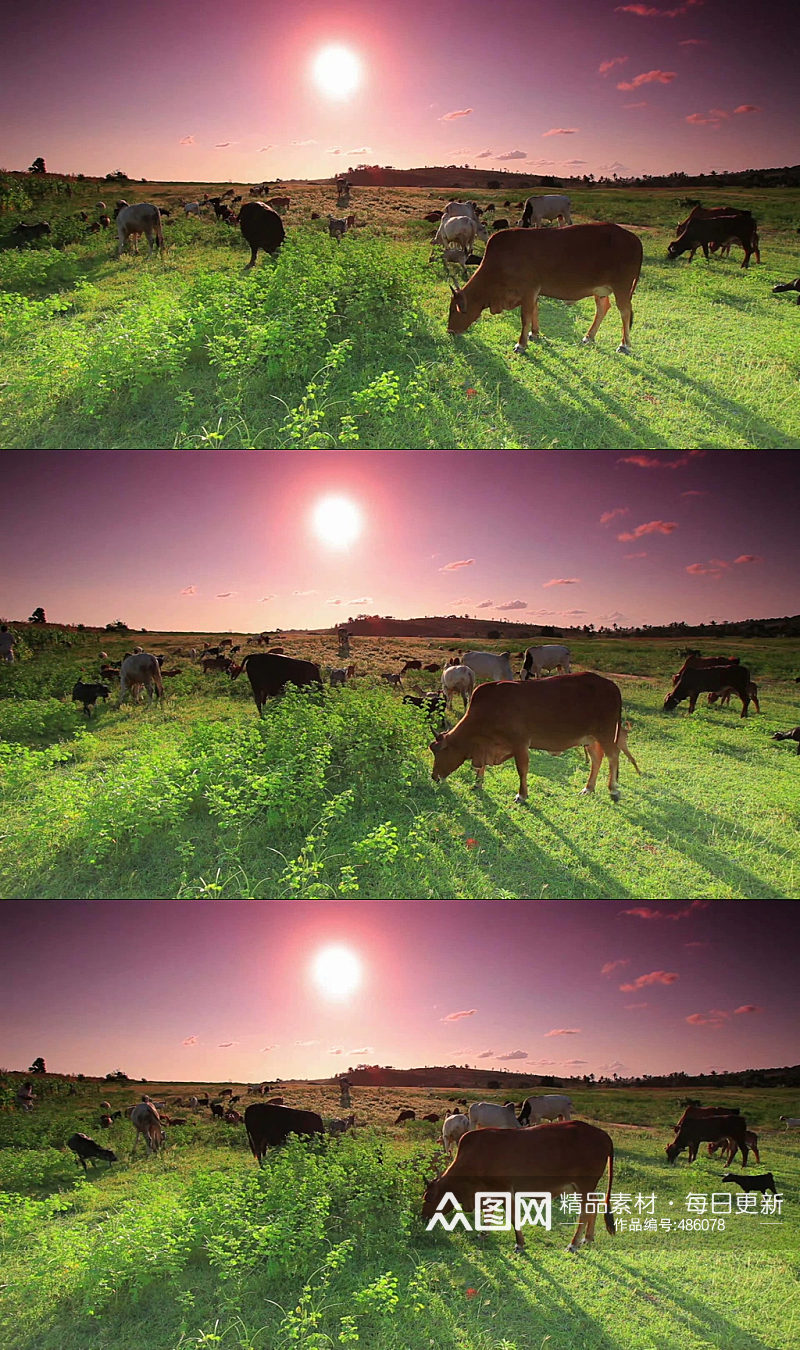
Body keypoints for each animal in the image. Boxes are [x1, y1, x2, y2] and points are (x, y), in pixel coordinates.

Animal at [420, 1117, 615, 1252]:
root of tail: (604, 1135)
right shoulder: (488, 1191)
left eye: (429, 1198)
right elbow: (488, 1211)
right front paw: (483, 1233)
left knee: (585, 1211)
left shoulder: (505, 1190)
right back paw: (587, 1238)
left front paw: (519, 1243)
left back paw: (573, 1244)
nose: (423, 1218)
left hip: (584, 1185)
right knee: (595, 1203)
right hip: (579, 1188)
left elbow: (513, 1217)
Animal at [431, 672, 631, 799]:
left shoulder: (520, 743)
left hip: (606, 733)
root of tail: (612, 686)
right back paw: (588, 788)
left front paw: (522, 795)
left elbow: (522, 769)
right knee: (597, 758)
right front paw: (478, 783)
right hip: (590, 737)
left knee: (613, 757)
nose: (434, 776)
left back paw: (613, 790)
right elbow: (481, 768)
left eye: (442, 751)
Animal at [447, 220, 642, 353]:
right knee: (603, 307)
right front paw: (534, 334)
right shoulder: (534, 292)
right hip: (600, 289)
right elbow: (534, 311)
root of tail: (634, 239)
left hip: (622, 287)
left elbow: (525, 316)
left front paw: (521, 344)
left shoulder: (528, 290)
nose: (450, 331)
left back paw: (624, 344)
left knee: (625, 312)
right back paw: (589, 336)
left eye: (454, 311)